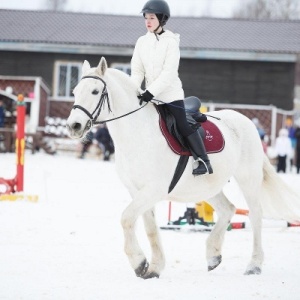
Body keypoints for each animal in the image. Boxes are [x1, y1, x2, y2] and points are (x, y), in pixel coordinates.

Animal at [67, 56, 300, 278]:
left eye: (95, 91)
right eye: (74, 91)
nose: (73, 126)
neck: (139, 134)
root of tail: (245, 121)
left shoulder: (154, 190)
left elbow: (126, 218)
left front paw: (139, 262)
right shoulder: (137, 191)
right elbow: (149, 228)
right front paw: (153, 268)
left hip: (248, 178)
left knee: (256, 215)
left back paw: (254, 265)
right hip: (208, 187)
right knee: (228, 209)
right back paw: (213, 255)